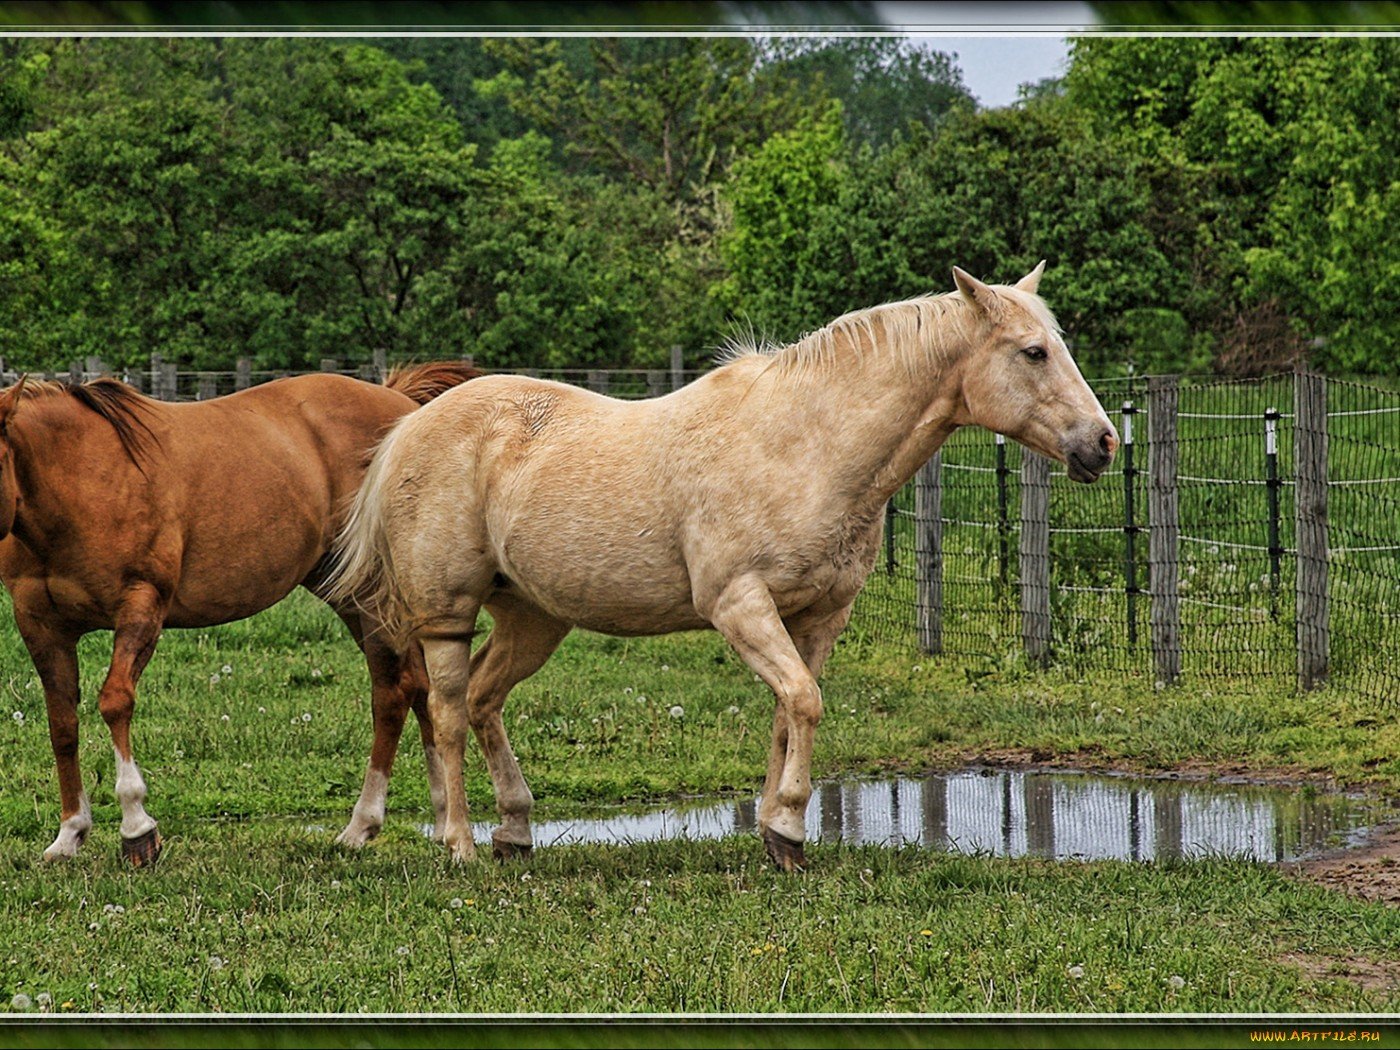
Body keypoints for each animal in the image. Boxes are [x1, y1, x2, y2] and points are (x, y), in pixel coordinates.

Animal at [0, 366, 478, 868]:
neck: (81, 478)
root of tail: (405, 406)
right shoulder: (40, 624)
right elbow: (61, 721)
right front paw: (70, 831)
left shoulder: (141, 605)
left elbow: (115, 702)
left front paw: (137, 828)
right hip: (351, 592)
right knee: (413, 688)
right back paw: (422, 819)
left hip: (373, 594)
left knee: (394, 692)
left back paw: (373, 822)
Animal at [324, 264, 1114, 873]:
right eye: (1033, 352)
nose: (1103, 443)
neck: (806, 446)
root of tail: (408, 427)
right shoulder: (739, 604)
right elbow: (804, 703)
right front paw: (788, 825)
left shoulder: (817, 617)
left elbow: (789, 710)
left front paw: (776, 834)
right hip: (446, 616)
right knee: (448, 713)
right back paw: (458, 843)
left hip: (534, 619)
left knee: (486, 700)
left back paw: (515, 831)